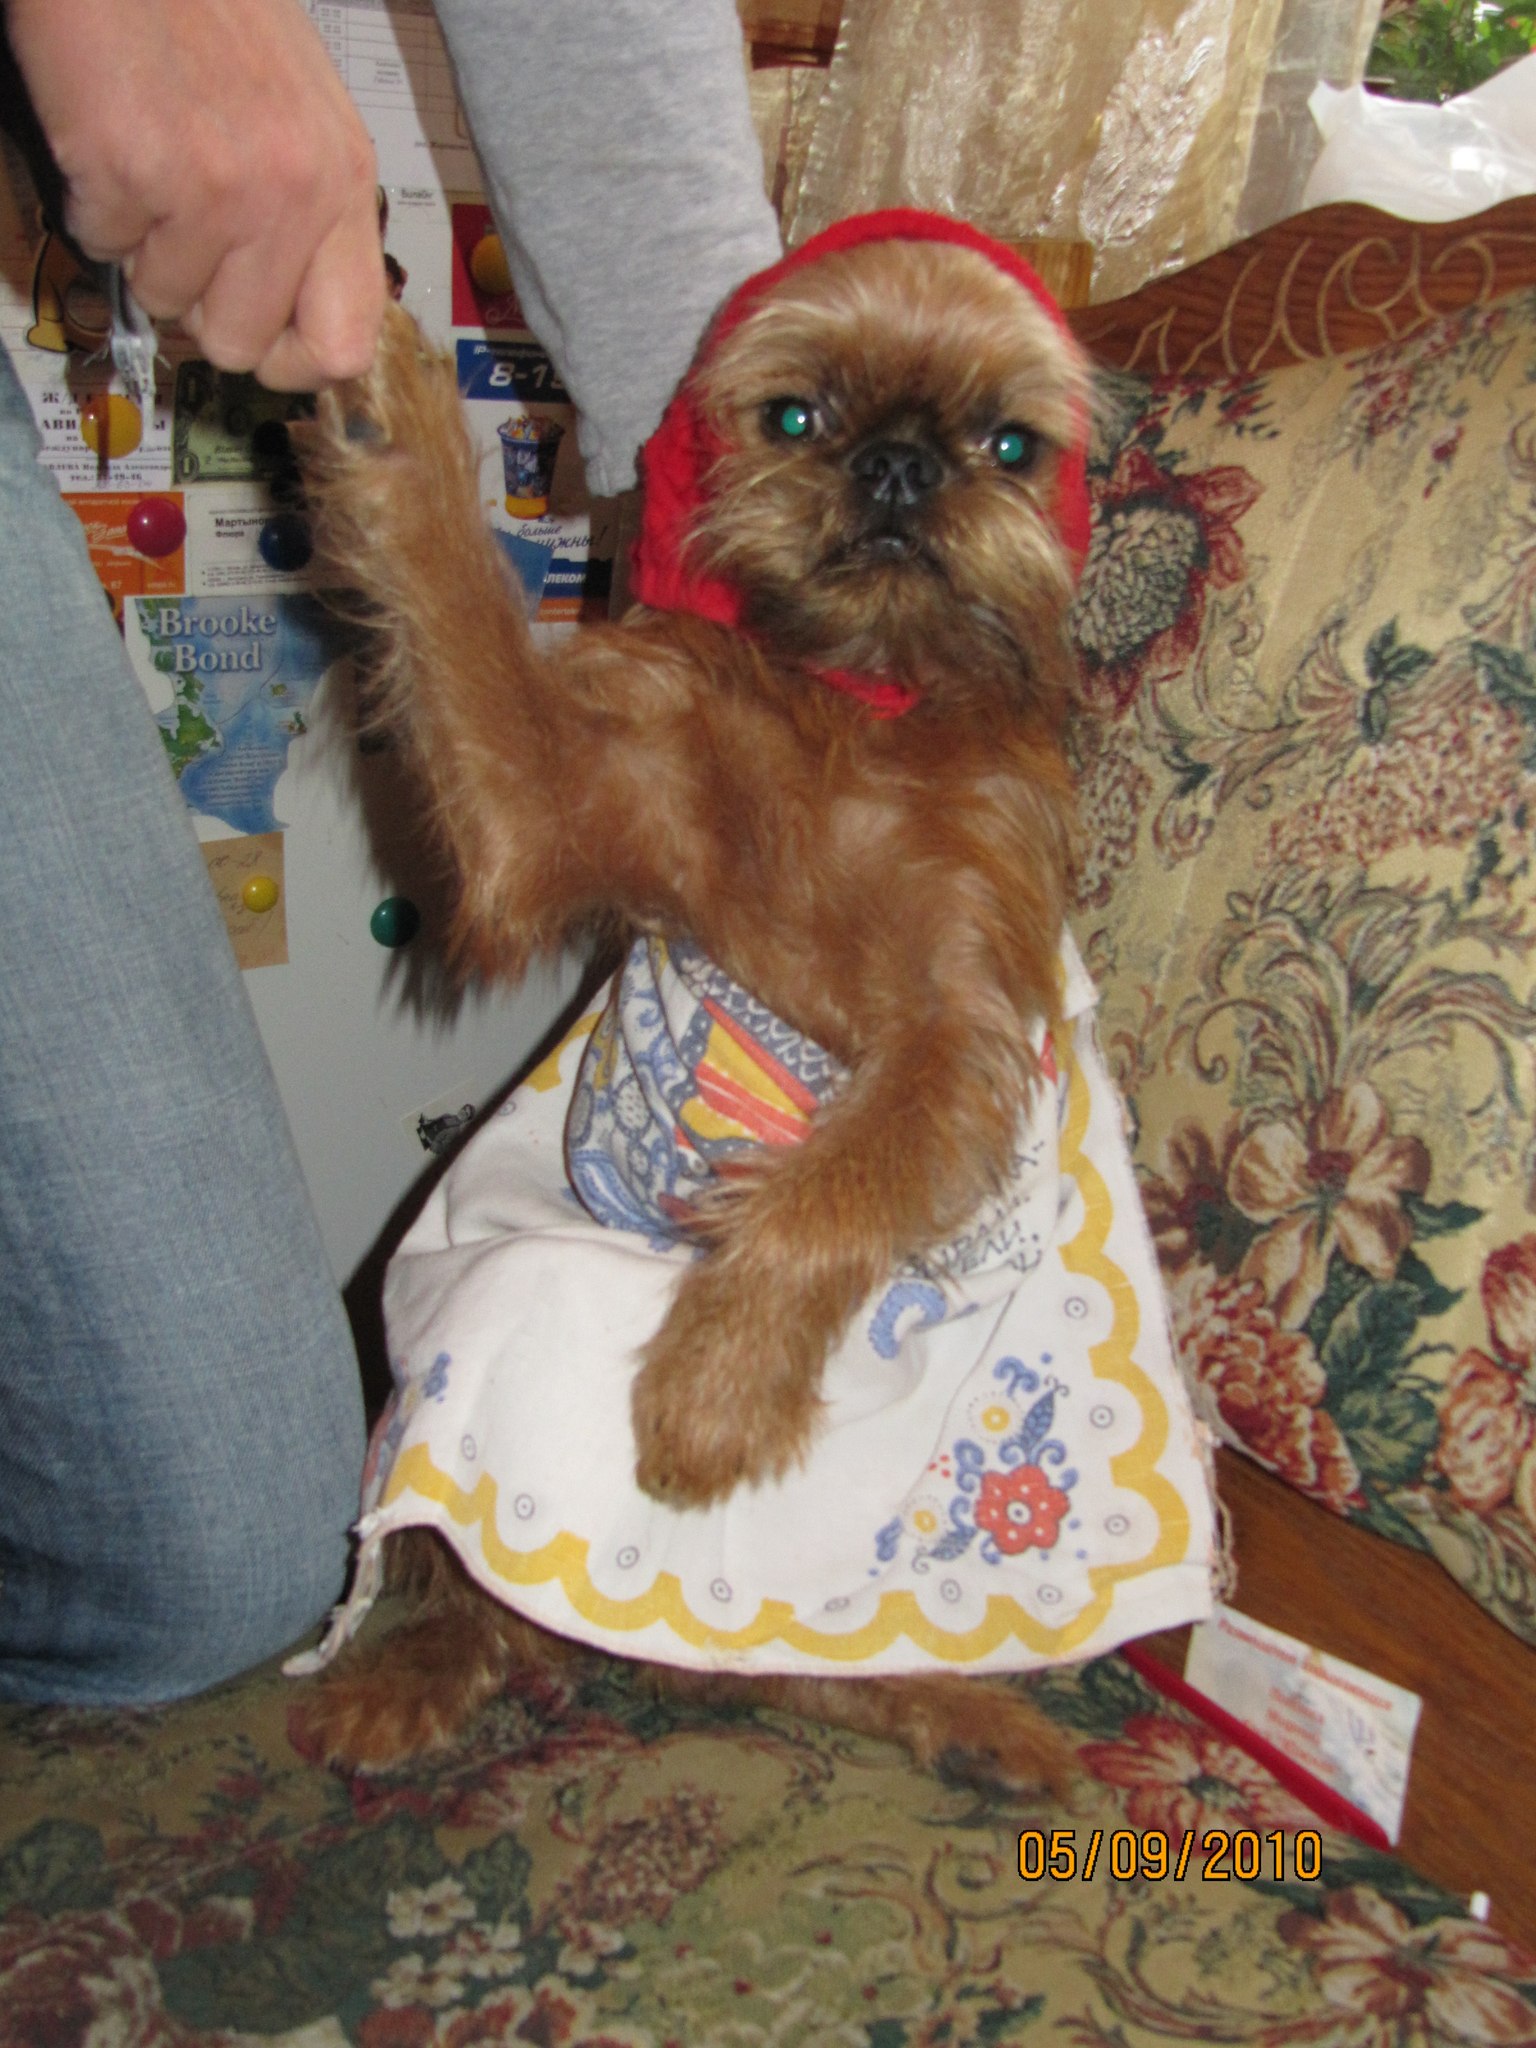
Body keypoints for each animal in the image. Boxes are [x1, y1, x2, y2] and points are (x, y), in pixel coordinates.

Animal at [292, 211, 1099, 1791]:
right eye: (793, 417)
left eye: (1009, 444)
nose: (899, 464)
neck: (859, 715)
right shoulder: (539, 808)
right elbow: (459, 608)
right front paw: (381, 392)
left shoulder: (957, 1034)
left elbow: (837, 1185)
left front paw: (713, 1392)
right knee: (470, 1597)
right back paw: (408, 1677)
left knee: (822, 1674)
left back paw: (976, 1719)